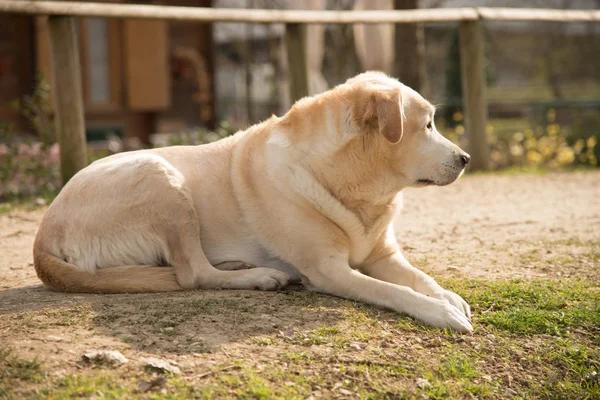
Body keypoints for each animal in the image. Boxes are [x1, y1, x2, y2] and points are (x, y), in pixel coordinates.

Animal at [34, 71, 474, 332]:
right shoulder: (330, 271)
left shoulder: (384, 255)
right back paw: (259, 276)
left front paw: (448, 297)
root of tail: (42, 240)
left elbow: (422, 279)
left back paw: (240, 266)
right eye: (428, 125)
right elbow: (395, 292)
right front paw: (441, 312)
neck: (351, 183)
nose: (466, 158)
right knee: (192, 274)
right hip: (160, 177)